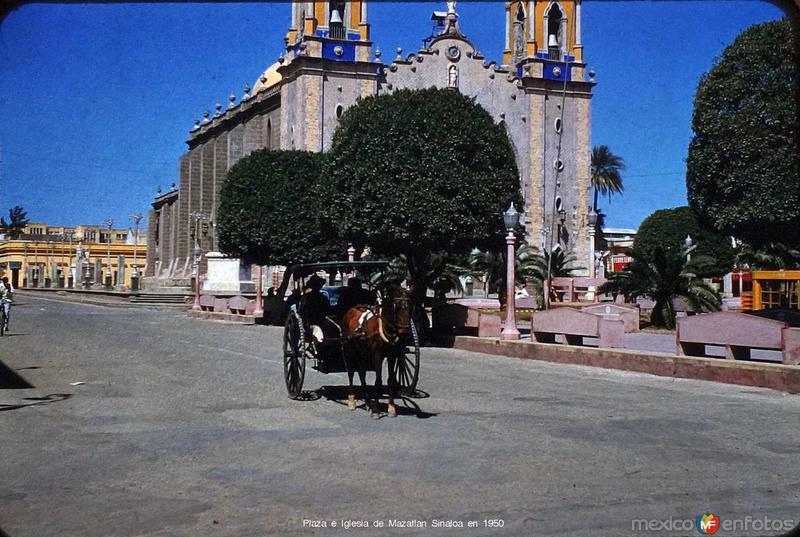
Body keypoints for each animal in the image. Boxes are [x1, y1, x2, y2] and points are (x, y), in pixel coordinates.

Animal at [340, 286, 412, 416]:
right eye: (397, 307)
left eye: (410, 307)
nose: (404, 331)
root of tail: (351, 309)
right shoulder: (377, 355)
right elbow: (378, 381)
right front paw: (376, 410)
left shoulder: (392, 355)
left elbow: (390, 380)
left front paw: (391, 407)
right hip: (349, 349)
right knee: (351, 372)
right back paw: (352, 400)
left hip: (362, 351)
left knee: (362, 373)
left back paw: (367, 402)